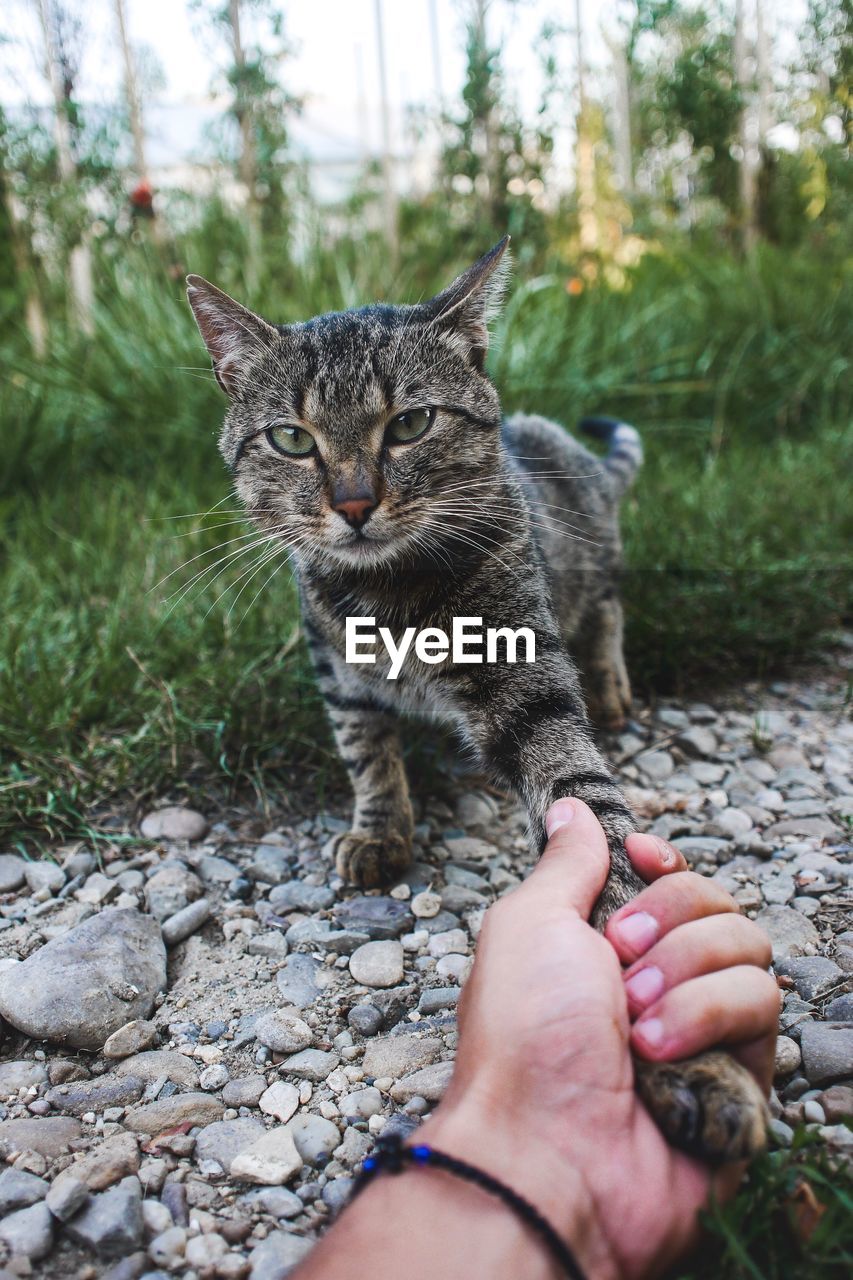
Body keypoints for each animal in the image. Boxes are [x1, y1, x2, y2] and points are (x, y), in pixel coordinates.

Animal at [184, 240, 763, 1172]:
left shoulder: (527, 681)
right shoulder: (336, 672)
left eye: (409, 424)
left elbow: (592, 823)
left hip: (595, 567)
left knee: (607, 610)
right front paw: (380, 831)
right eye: (291, 439)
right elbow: (367, 755)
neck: (389, 598)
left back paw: (611, 687)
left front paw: (697, 1068)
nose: (352, 503)